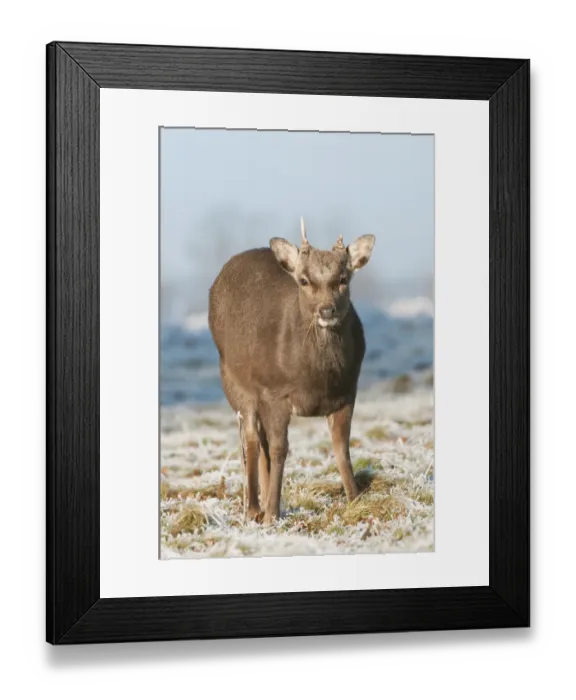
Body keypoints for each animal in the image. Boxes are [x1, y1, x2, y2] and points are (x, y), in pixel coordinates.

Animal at [208, 218, 375, 525]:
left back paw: (262, 503)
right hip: (233, 381)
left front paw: (356, 501)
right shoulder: (275, 392)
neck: (316, 379)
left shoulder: (348, 391)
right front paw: (272, 513)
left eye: (343, 279)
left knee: (259, 442)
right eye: (304, 280)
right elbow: (279, 449)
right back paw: (253, 508)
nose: (326, 310)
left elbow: (341, 448)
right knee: (251, 438)